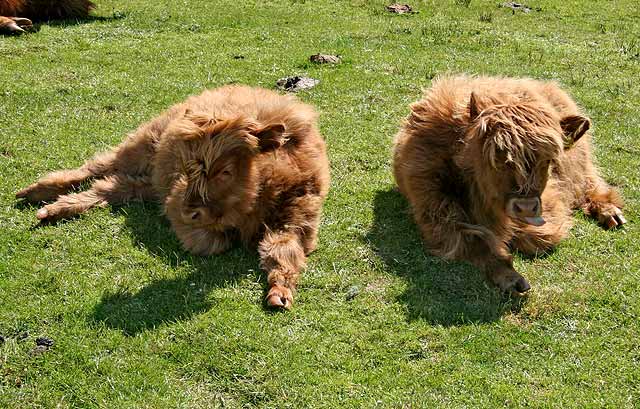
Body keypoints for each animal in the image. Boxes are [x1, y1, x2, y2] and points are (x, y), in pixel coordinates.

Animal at [392, 75, 628, 294]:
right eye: (496, 156)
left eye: (548, 160)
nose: (526, 207)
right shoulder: (436, 212)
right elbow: (475, 240)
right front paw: (511, 278)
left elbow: (539, 235)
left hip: (579, 166)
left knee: (589, 182)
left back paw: (610, 212)